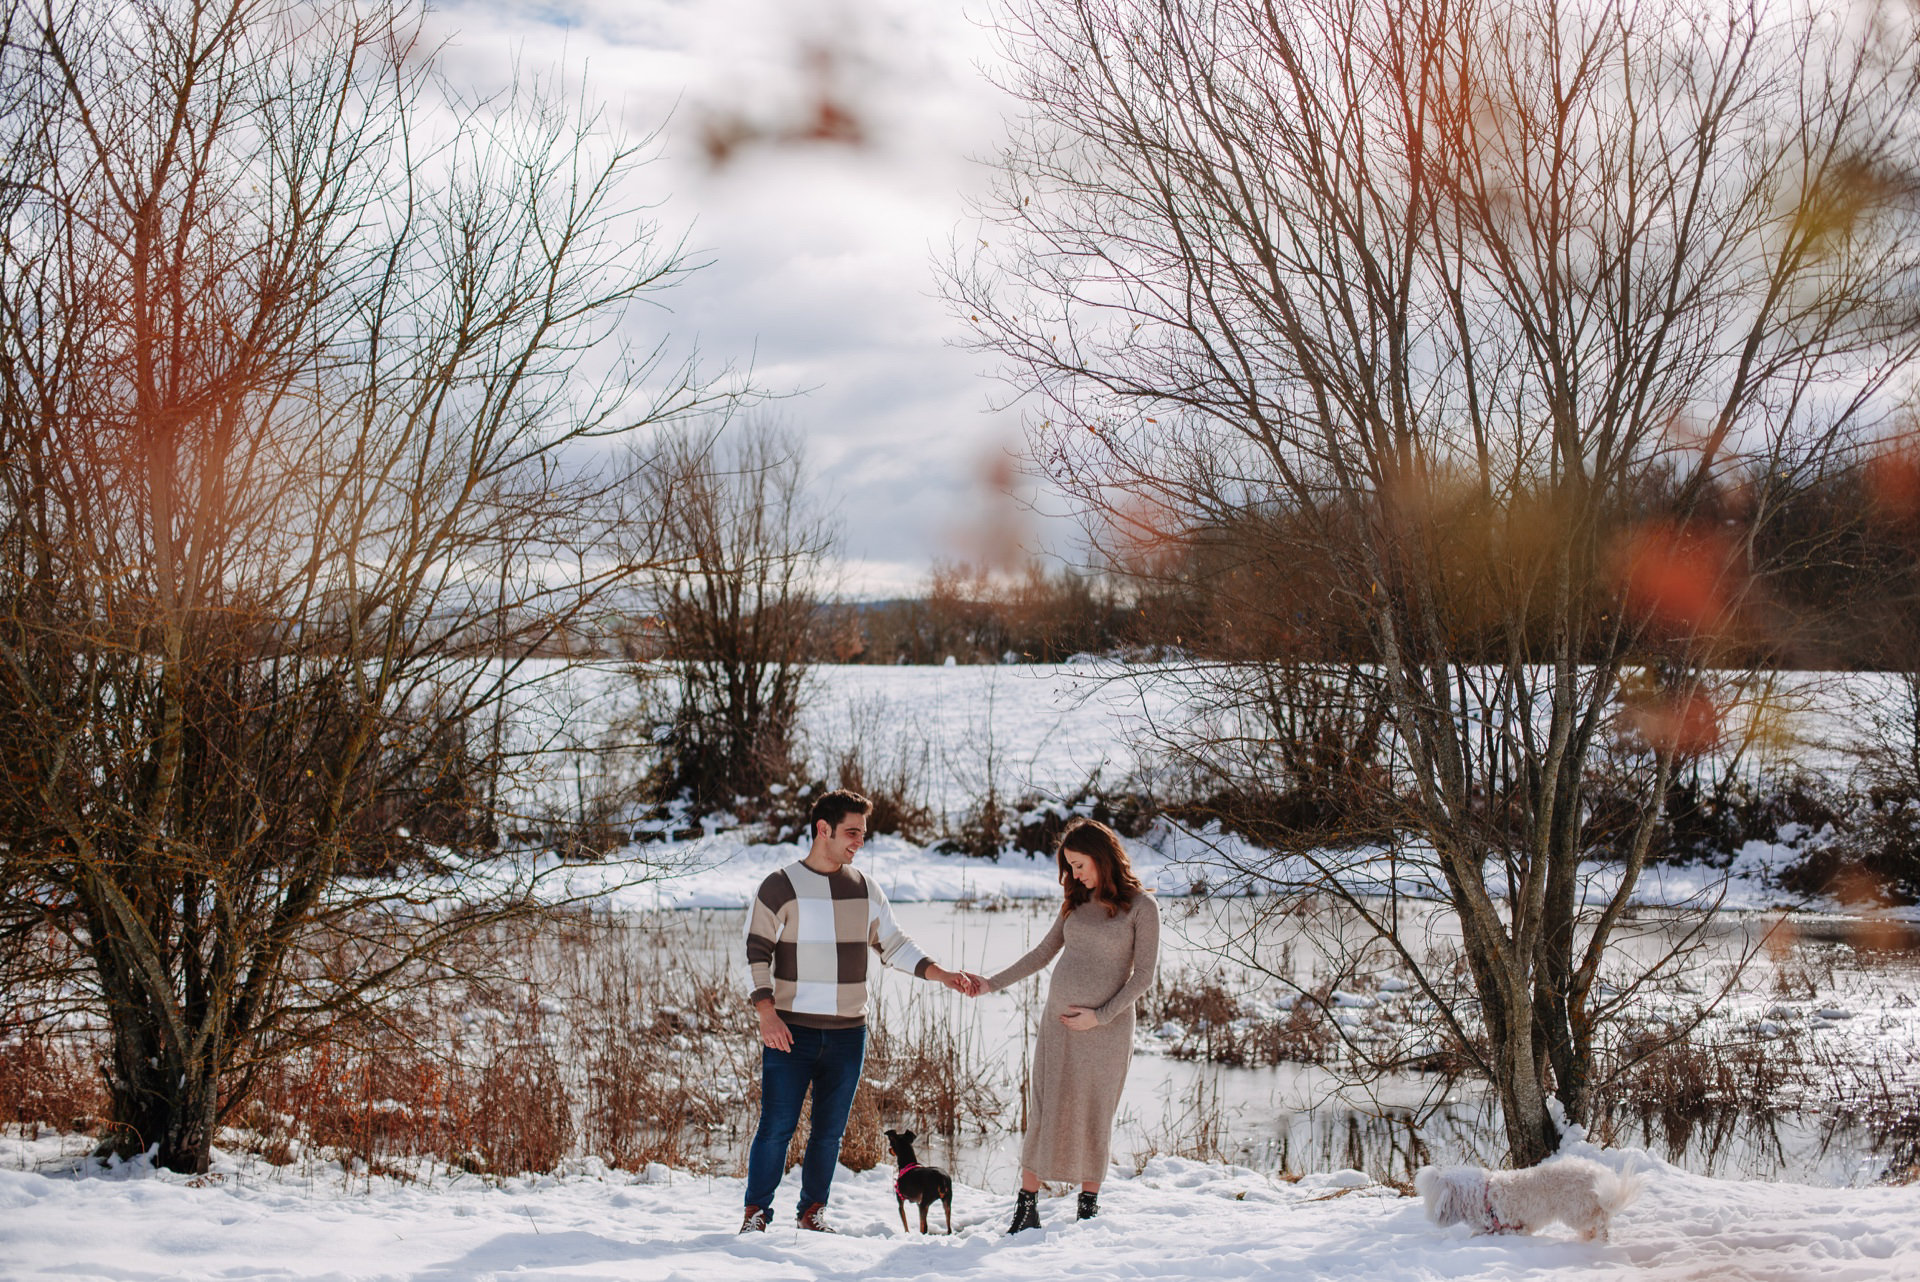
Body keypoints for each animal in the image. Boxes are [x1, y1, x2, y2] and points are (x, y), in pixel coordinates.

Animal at [1420, 1151, 1643, 1243]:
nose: (1430, 1217)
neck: (1484, 1198)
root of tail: (1599, 1174)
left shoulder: (1514, 1228)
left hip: (1577, 1211)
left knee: (1600, 1223)